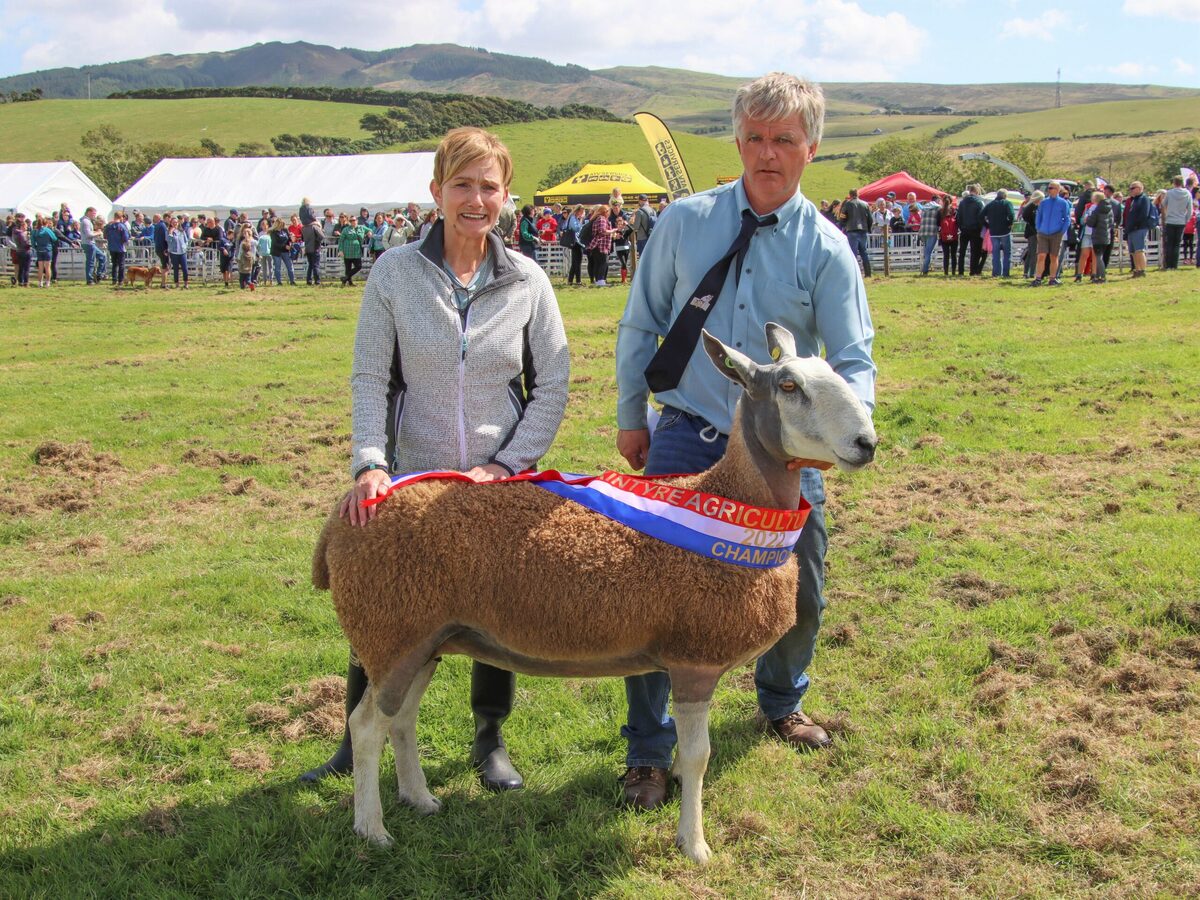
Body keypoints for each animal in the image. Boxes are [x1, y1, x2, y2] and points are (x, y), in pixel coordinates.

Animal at [314, 324, 878, 868]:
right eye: (789, 387)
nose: (867, 443)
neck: (732, 506)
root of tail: (346, 515)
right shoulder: (694, 659)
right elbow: (699, 757)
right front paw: (695, 846)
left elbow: (688, 756)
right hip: (390, 631)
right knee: (365, 726)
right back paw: (372, 829)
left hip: (422, 639)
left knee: (400, 720)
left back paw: (420, 799)